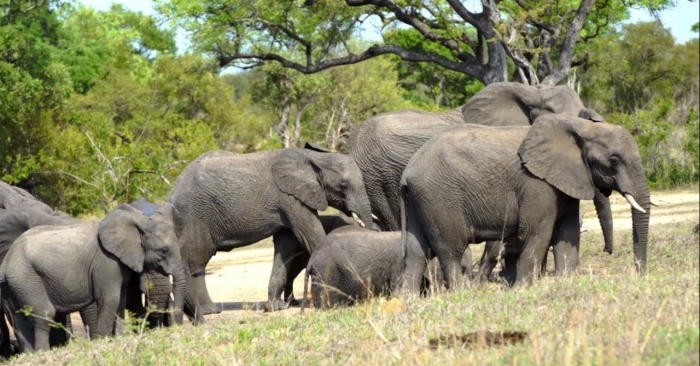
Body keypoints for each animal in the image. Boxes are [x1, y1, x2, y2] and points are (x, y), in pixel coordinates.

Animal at [0, 204, 186, 354]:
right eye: (164, 251)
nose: (176, 328)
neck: (141, 222)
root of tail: (7, 261)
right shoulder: (106, 262)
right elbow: (110, 299)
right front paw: (104, 342)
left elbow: (120, 302)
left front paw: (120, 339)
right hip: (26, 275)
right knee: (45, 313)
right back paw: (43, 353)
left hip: (16, 281)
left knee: (19, 317)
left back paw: (30, 355)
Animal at [159, 147, 374, 322]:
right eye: (343, 185)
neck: (315, 157)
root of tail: (172, 193)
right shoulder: (290, 198)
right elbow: (311, 235)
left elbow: (286, 245)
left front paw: (275, 308)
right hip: (195, 215)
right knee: (197, 261)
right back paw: (209, 311)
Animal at [396, 114, 648, 292]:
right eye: (614, 160)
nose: (639, 272)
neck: (581, 127)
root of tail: (407, 172)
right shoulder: (538, 184)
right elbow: (536, 234)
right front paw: (521, 290)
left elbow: (567, 233)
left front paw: (565, 283)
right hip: (440, 198)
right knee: (451, 250)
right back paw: (462, 293)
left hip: (421, 200)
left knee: (416, 251)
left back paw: (407, 299)